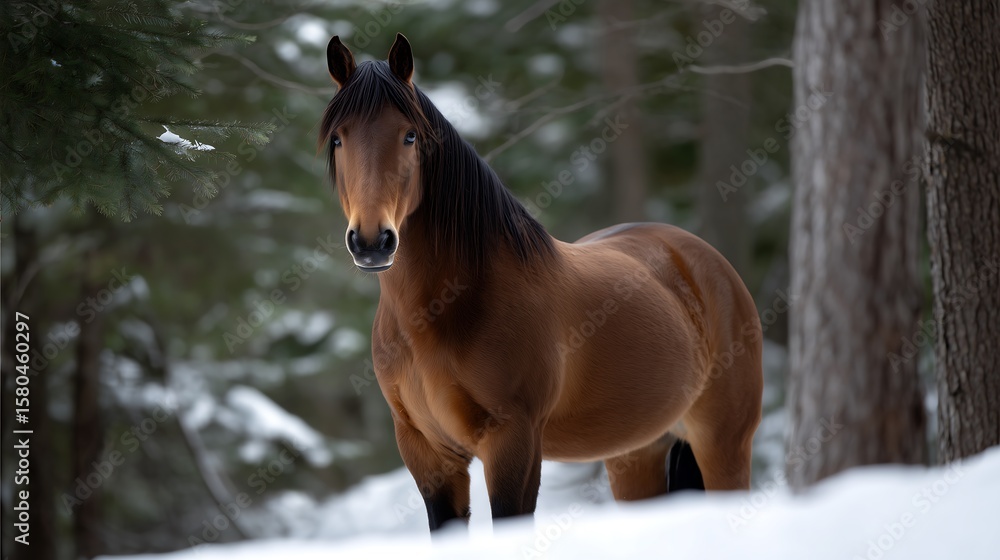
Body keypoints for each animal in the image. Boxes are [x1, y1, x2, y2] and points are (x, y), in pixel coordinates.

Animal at [319, 33, 763, 530]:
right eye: (337, 138)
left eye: (409, 135)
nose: (371, 242)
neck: (445, 311)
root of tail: (703, 260)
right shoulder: (428, 454)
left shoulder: (515, 443)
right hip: (637, 452)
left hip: (723, 443)